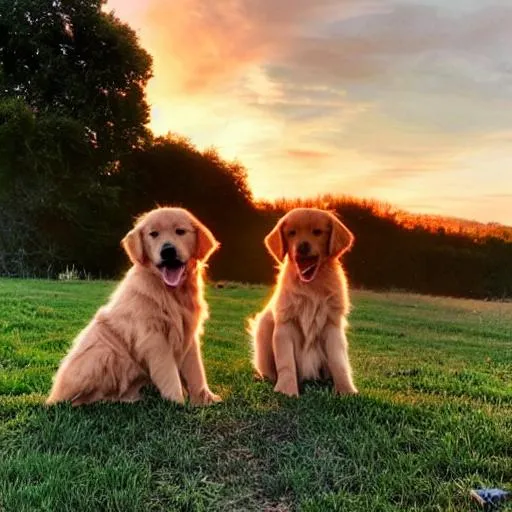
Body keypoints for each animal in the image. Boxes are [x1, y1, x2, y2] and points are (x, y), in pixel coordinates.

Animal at [48, 206, 222, 406]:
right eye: (153, 234)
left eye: (180, 231)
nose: (168, 250)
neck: (171, 291)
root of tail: (52, 395)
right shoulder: (153, 337)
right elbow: (169, 372)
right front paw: (177, 402)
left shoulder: (189, 333)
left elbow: (196, 370)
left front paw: (205, 398)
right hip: (104, 351)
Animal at [251, 207, 356, 396]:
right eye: (292, 233)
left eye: (317, 232)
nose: (303, 246)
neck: (311, 286)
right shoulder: (285, 325)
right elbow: (286, 363)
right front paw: (286, 390)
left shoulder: (332, 325)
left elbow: (339, 362)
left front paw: (346, 390)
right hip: (263, 328)